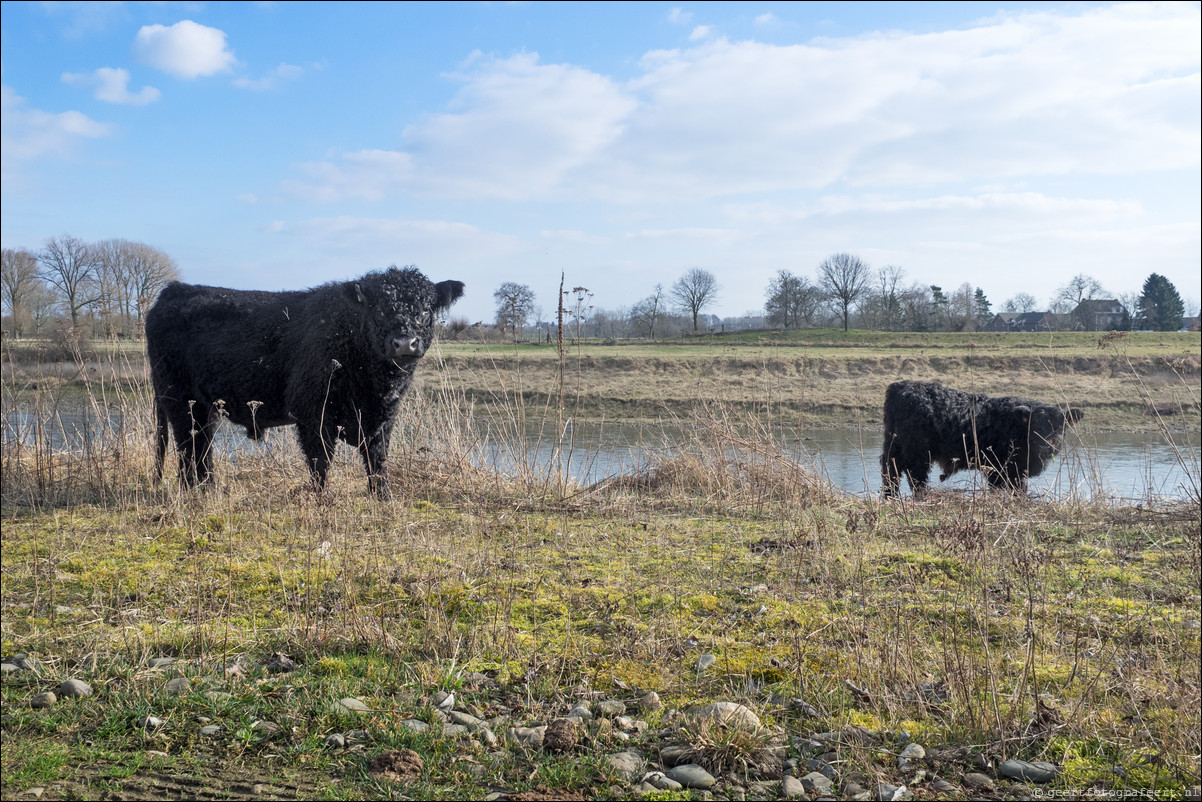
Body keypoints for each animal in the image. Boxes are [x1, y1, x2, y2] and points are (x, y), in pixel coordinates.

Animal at [145, 266, 463, 495]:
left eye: (425, 309)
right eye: (379, 310)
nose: (405, 343)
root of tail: (175, 290)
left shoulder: (383, 418)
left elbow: (377, 460)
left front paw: (382, 497)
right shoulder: (313, 413)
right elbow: (320, 462)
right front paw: (322, 499)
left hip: (204, 405)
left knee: (202, 446)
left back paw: (208, 488)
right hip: (178, 399)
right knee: (188, 447)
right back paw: (192, 491)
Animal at [879, 379, 1086, 497]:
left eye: (1059, 427)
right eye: (1034, 427)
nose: (1045, 447)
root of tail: (901, 387)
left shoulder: (1015, 471)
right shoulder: (998, 468)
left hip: (893, 445)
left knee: (890, 470)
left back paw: (891, 496)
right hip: (917, 452)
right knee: (915, 476)